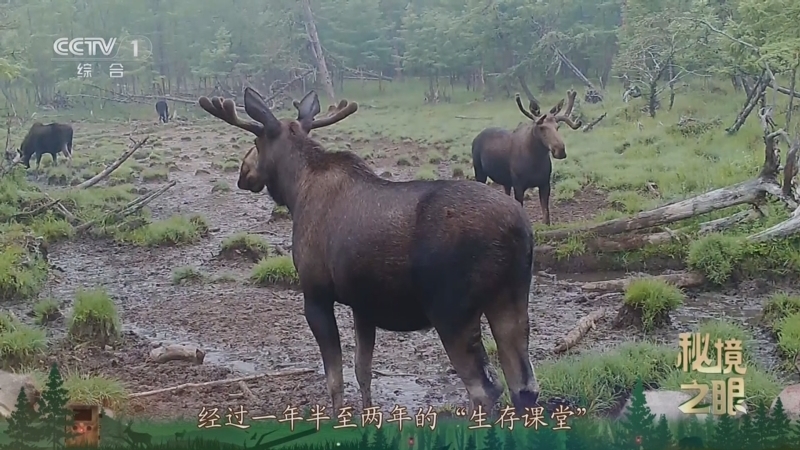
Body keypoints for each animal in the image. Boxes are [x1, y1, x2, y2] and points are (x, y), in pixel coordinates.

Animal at [198, 87, 541, 416]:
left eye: (256, 141)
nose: (243, 173)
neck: (295, 191)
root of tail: (519, 230)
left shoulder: (316, 294)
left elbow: (334, 377)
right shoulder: (363, 305)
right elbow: (363, 370)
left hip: (452, 310)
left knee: (485, 390)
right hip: (511, 299)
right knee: (524, 386)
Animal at [470, 90, 582, 226]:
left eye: (557, 127)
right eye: (541, 127)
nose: (560, 150)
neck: (536, 161)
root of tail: (476, 137)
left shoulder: (545, 183)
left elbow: (546, 215)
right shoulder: (519, 184)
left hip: (506, 181)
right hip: (479, 171)